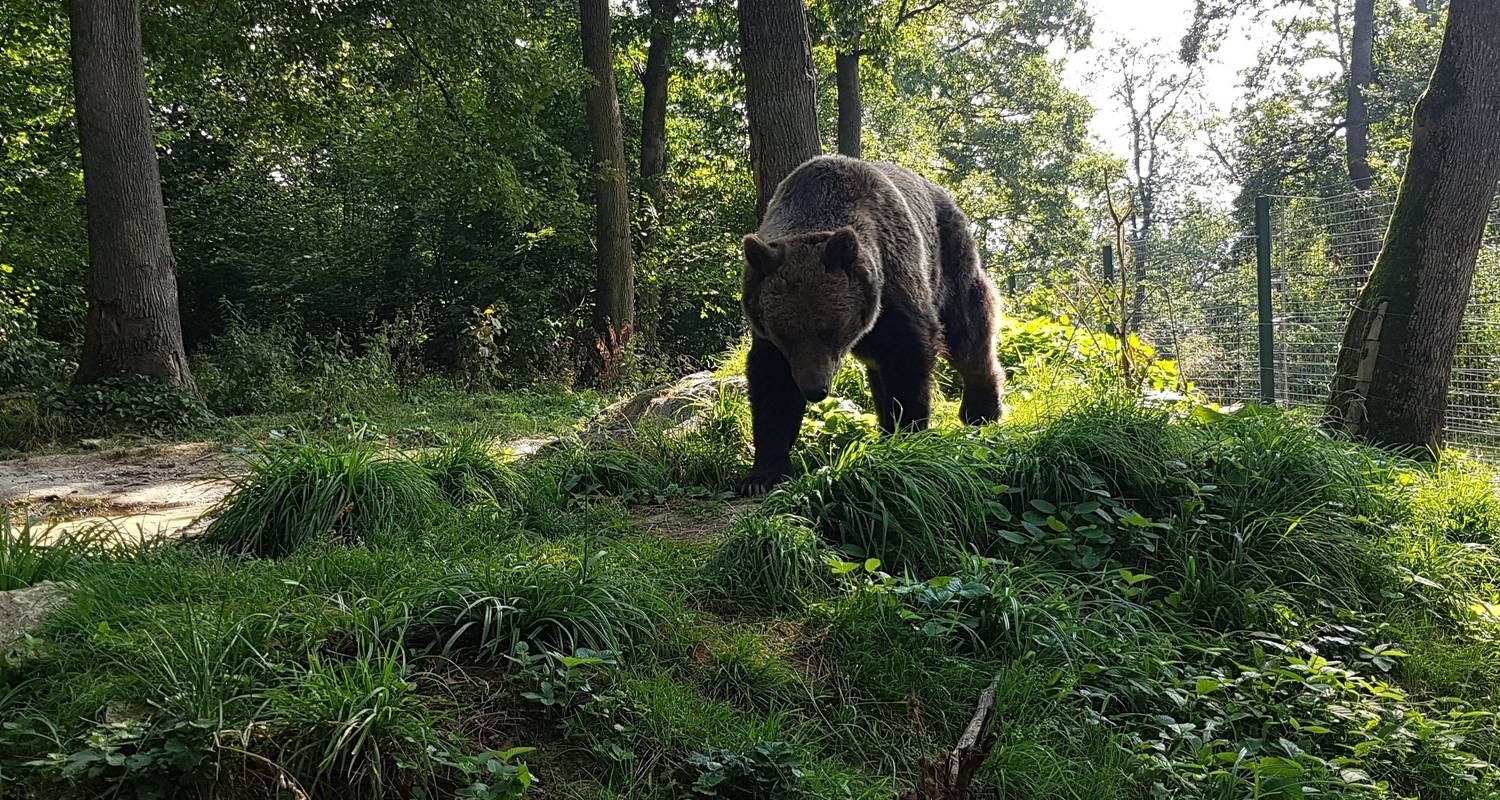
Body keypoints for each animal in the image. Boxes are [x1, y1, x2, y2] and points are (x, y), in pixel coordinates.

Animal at [735, 154, 1002, 492]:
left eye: (828, 330)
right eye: (785, 334)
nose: (815, 389)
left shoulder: (894, 282)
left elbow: (908, 360)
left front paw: (909, 436)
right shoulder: (769, 327)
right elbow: (772, 384)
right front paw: (763, 473)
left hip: (948, 259)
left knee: (969, 332)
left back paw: (982, 412)